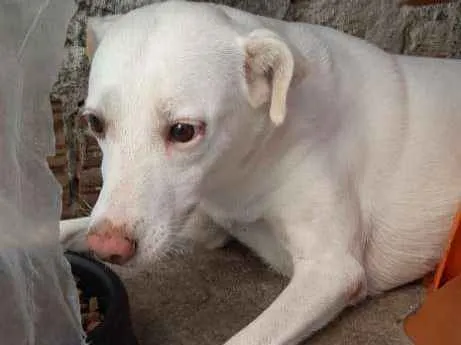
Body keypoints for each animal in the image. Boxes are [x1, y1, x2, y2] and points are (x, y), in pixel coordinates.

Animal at [60, 1, 460, 342]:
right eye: (94, 122)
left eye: (183, 131)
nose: (108, 249)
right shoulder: (199, 226)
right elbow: (68, 228)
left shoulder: (331, 270)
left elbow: (246, 338)